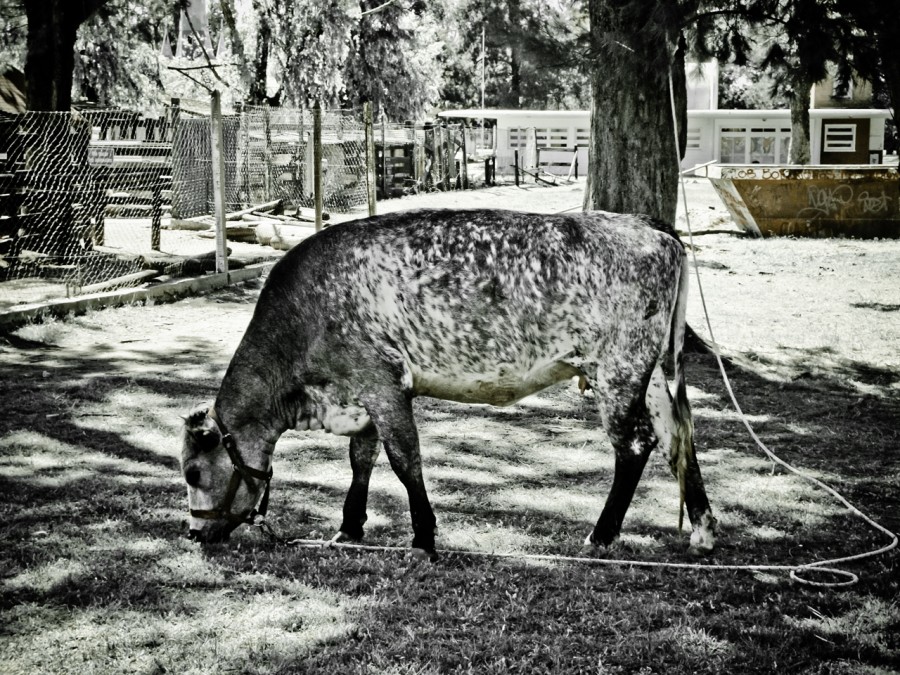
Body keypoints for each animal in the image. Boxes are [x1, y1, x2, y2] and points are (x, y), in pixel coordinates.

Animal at [183, 209, 716, 556]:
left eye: (192, 473)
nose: (193, 533)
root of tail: (653, 229)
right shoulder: (363, 396)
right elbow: (362, 461)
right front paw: (350, 528)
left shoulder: (382, 384)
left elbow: (405, 461)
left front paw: (422, 539)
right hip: (650, 374)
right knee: (678, 437)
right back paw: (704, 531)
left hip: (618, 370)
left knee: (635, 445)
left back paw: (602, 535)